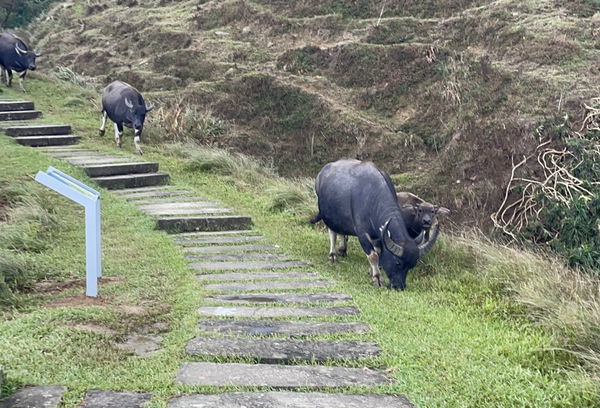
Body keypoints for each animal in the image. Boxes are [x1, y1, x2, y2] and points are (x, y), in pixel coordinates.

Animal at [312, 159, 438, 290]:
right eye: (397, 262)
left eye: (411, 265)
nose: (399, 287)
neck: (371, 198)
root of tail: (321, 173)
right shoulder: (362, 234)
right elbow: (373, 256)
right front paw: (377, 278)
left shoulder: (377, 236)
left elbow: (378, 253)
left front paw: (371, 271)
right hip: (327, 215)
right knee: (332, 233)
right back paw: (332, 256)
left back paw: (342, 249)